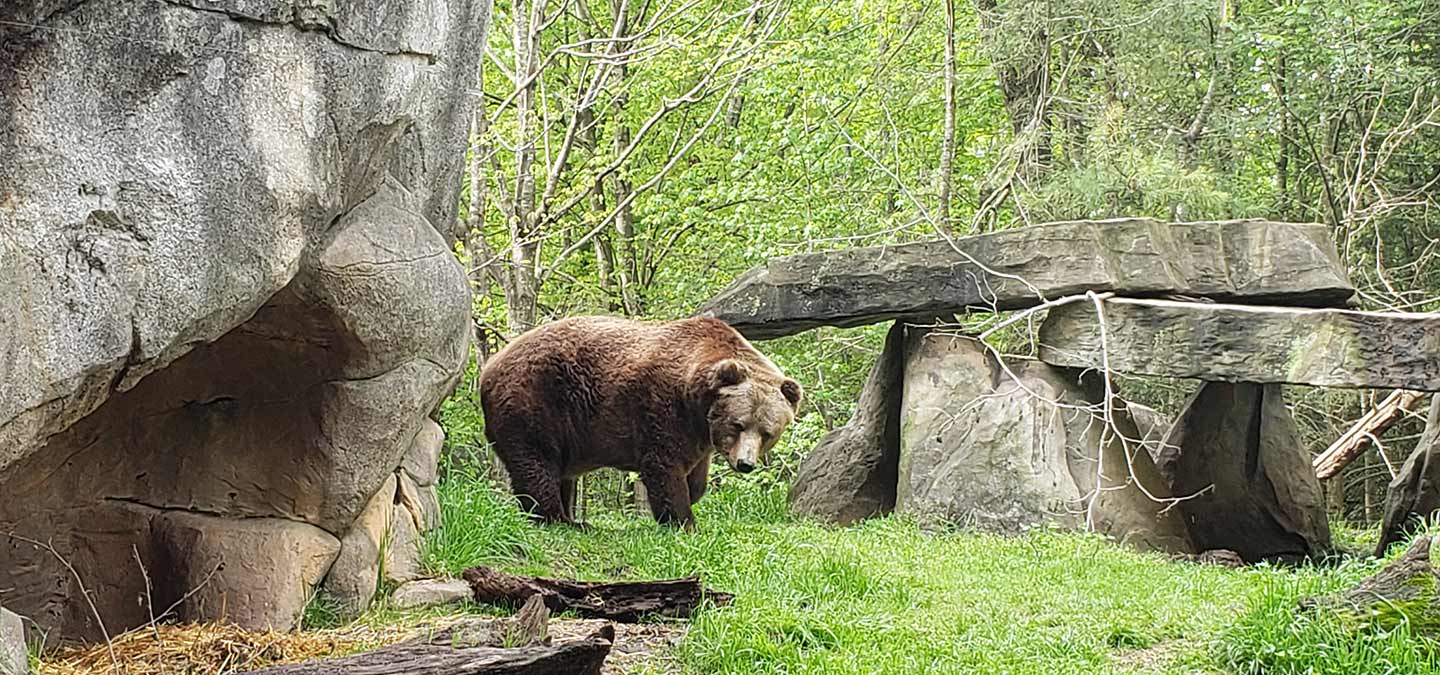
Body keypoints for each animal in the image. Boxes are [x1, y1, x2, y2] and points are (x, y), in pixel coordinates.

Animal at [480, 313, 800, 529]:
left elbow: (696, 473)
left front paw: (693, 494)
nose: (745, 464)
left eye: (767, 432)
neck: (696, 399)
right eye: (738, 424)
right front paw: (683, 520)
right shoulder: (661, 407)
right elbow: (665, 465)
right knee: (537, 463)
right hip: (536, 401)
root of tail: (489, 367)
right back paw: (560, 518)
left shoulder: (699, 432)